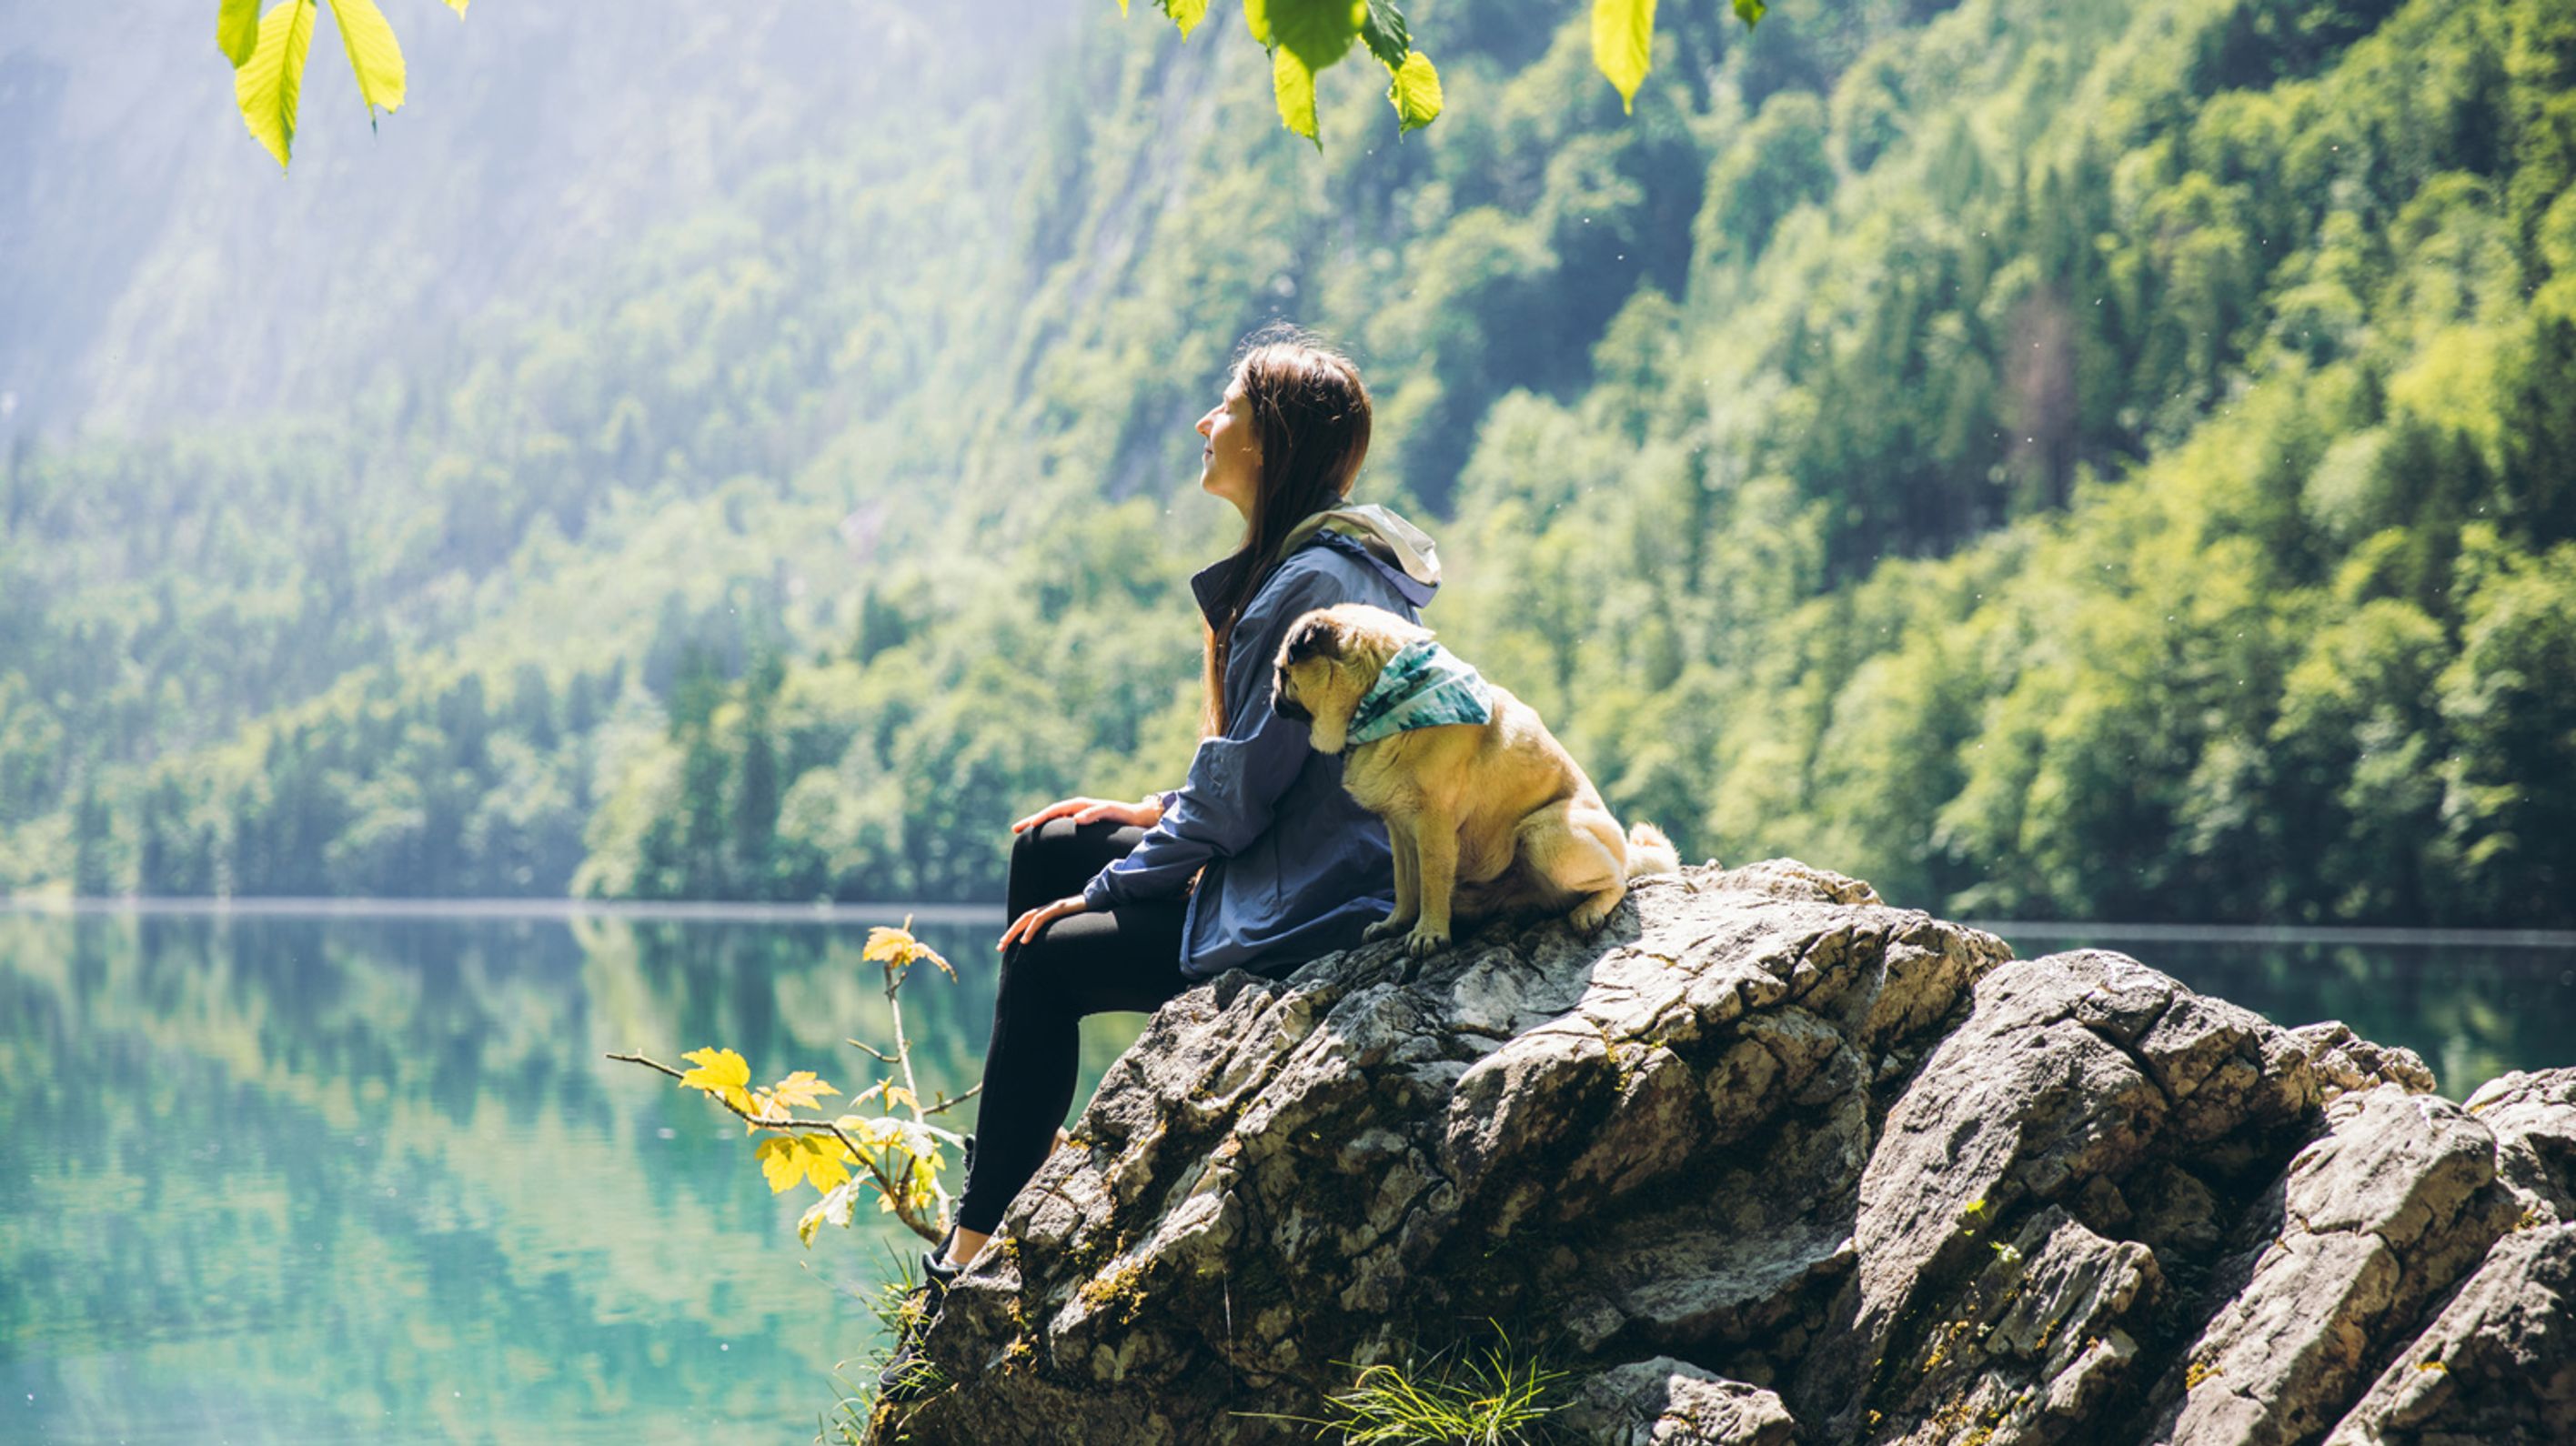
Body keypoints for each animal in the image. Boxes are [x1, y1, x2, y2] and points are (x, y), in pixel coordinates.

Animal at [1273, 600, 1679, 959]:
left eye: (1282, 673)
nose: (1272, 696)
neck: (1383, 697)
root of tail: (1625, 850)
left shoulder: (1434, 825)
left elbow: (1432, 881)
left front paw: (1429, 933)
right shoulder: (1398, 827)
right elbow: (1405, 883)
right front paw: (1396, 923)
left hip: (1544, 835)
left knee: (1617, 880)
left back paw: (1590, 910)